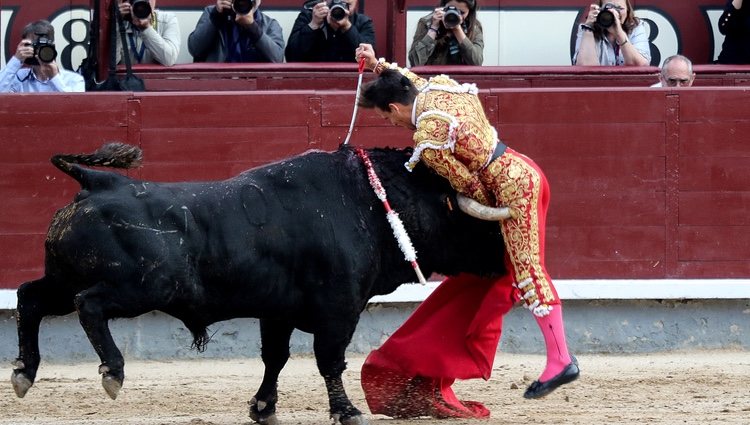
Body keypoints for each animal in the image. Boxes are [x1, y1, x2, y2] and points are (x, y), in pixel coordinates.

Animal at [11, 143, 506, 424]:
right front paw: (347, 412)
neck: (369, 202)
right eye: (476, 221)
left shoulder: (278, 311)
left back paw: (23, 373)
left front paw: (263, 408)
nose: (507, 263)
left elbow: (276, 358)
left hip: (63, 278)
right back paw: (112, 371)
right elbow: (330, 360)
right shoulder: (339, 309)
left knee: (30, 298)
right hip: (142, 286)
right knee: (89, 305)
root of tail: (97, 181)